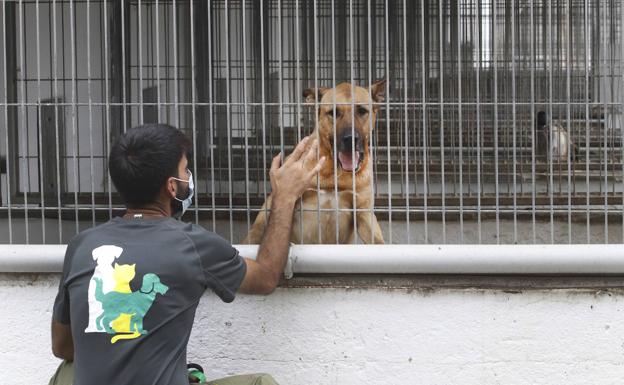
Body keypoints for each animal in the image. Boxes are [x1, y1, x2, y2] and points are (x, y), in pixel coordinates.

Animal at [243, 79, 386, 244]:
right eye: (333, 113)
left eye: (362, 111)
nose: (350, 139)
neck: (334, 172)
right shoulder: (285, 197)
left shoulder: (364, 212)